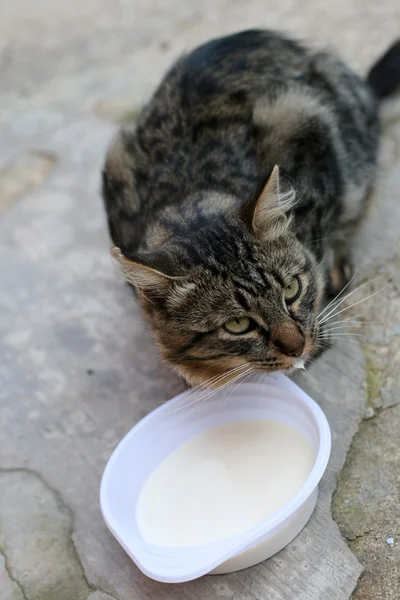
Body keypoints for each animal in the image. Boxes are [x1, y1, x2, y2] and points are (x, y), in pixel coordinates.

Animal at [103, 31, 400, 384]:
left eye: (292, 290)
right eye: (237, 324)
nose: (297, 347)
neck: (192, 194)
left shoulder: (305, 127)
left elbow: (318, 249)